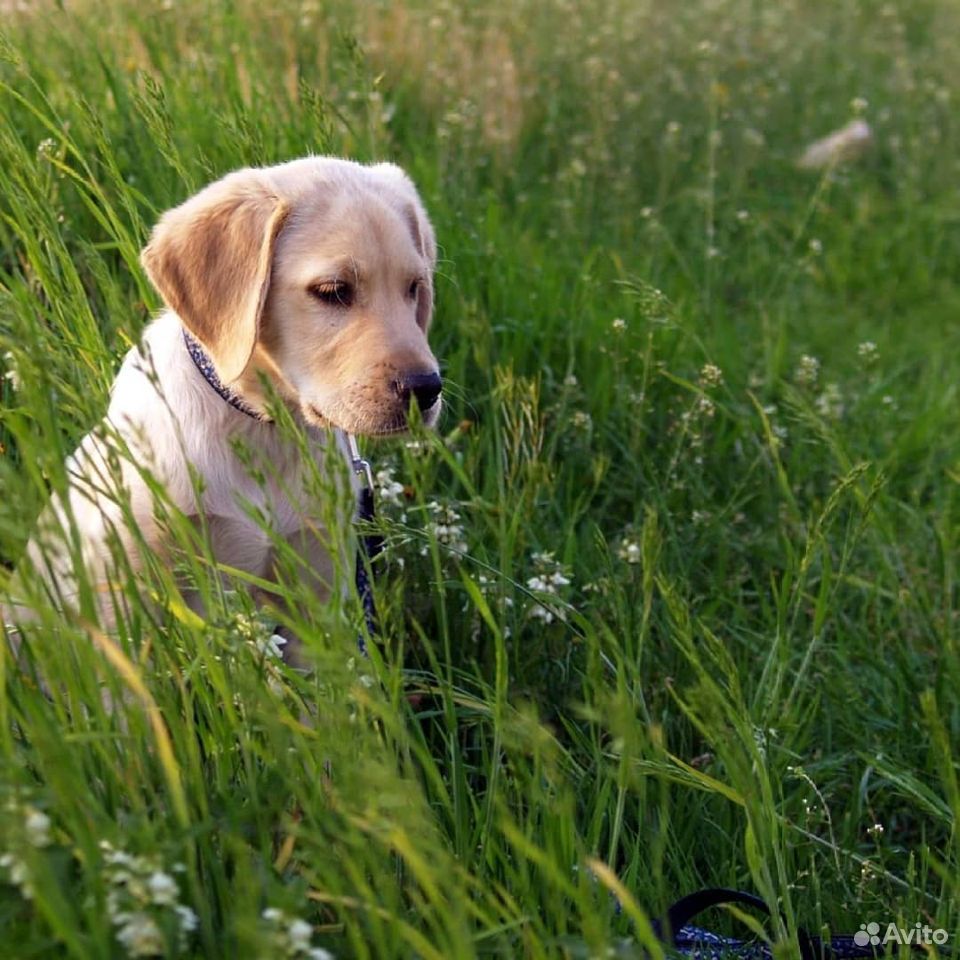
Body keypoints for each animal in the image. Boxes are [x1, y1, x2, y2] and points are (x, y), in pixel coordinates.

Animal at [10, 156, 442, 636]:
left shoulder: (318, 593)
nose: (426, 388)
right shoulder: (123, 591)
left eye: (414, 288)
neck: (263, 428)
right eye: (333, 291)